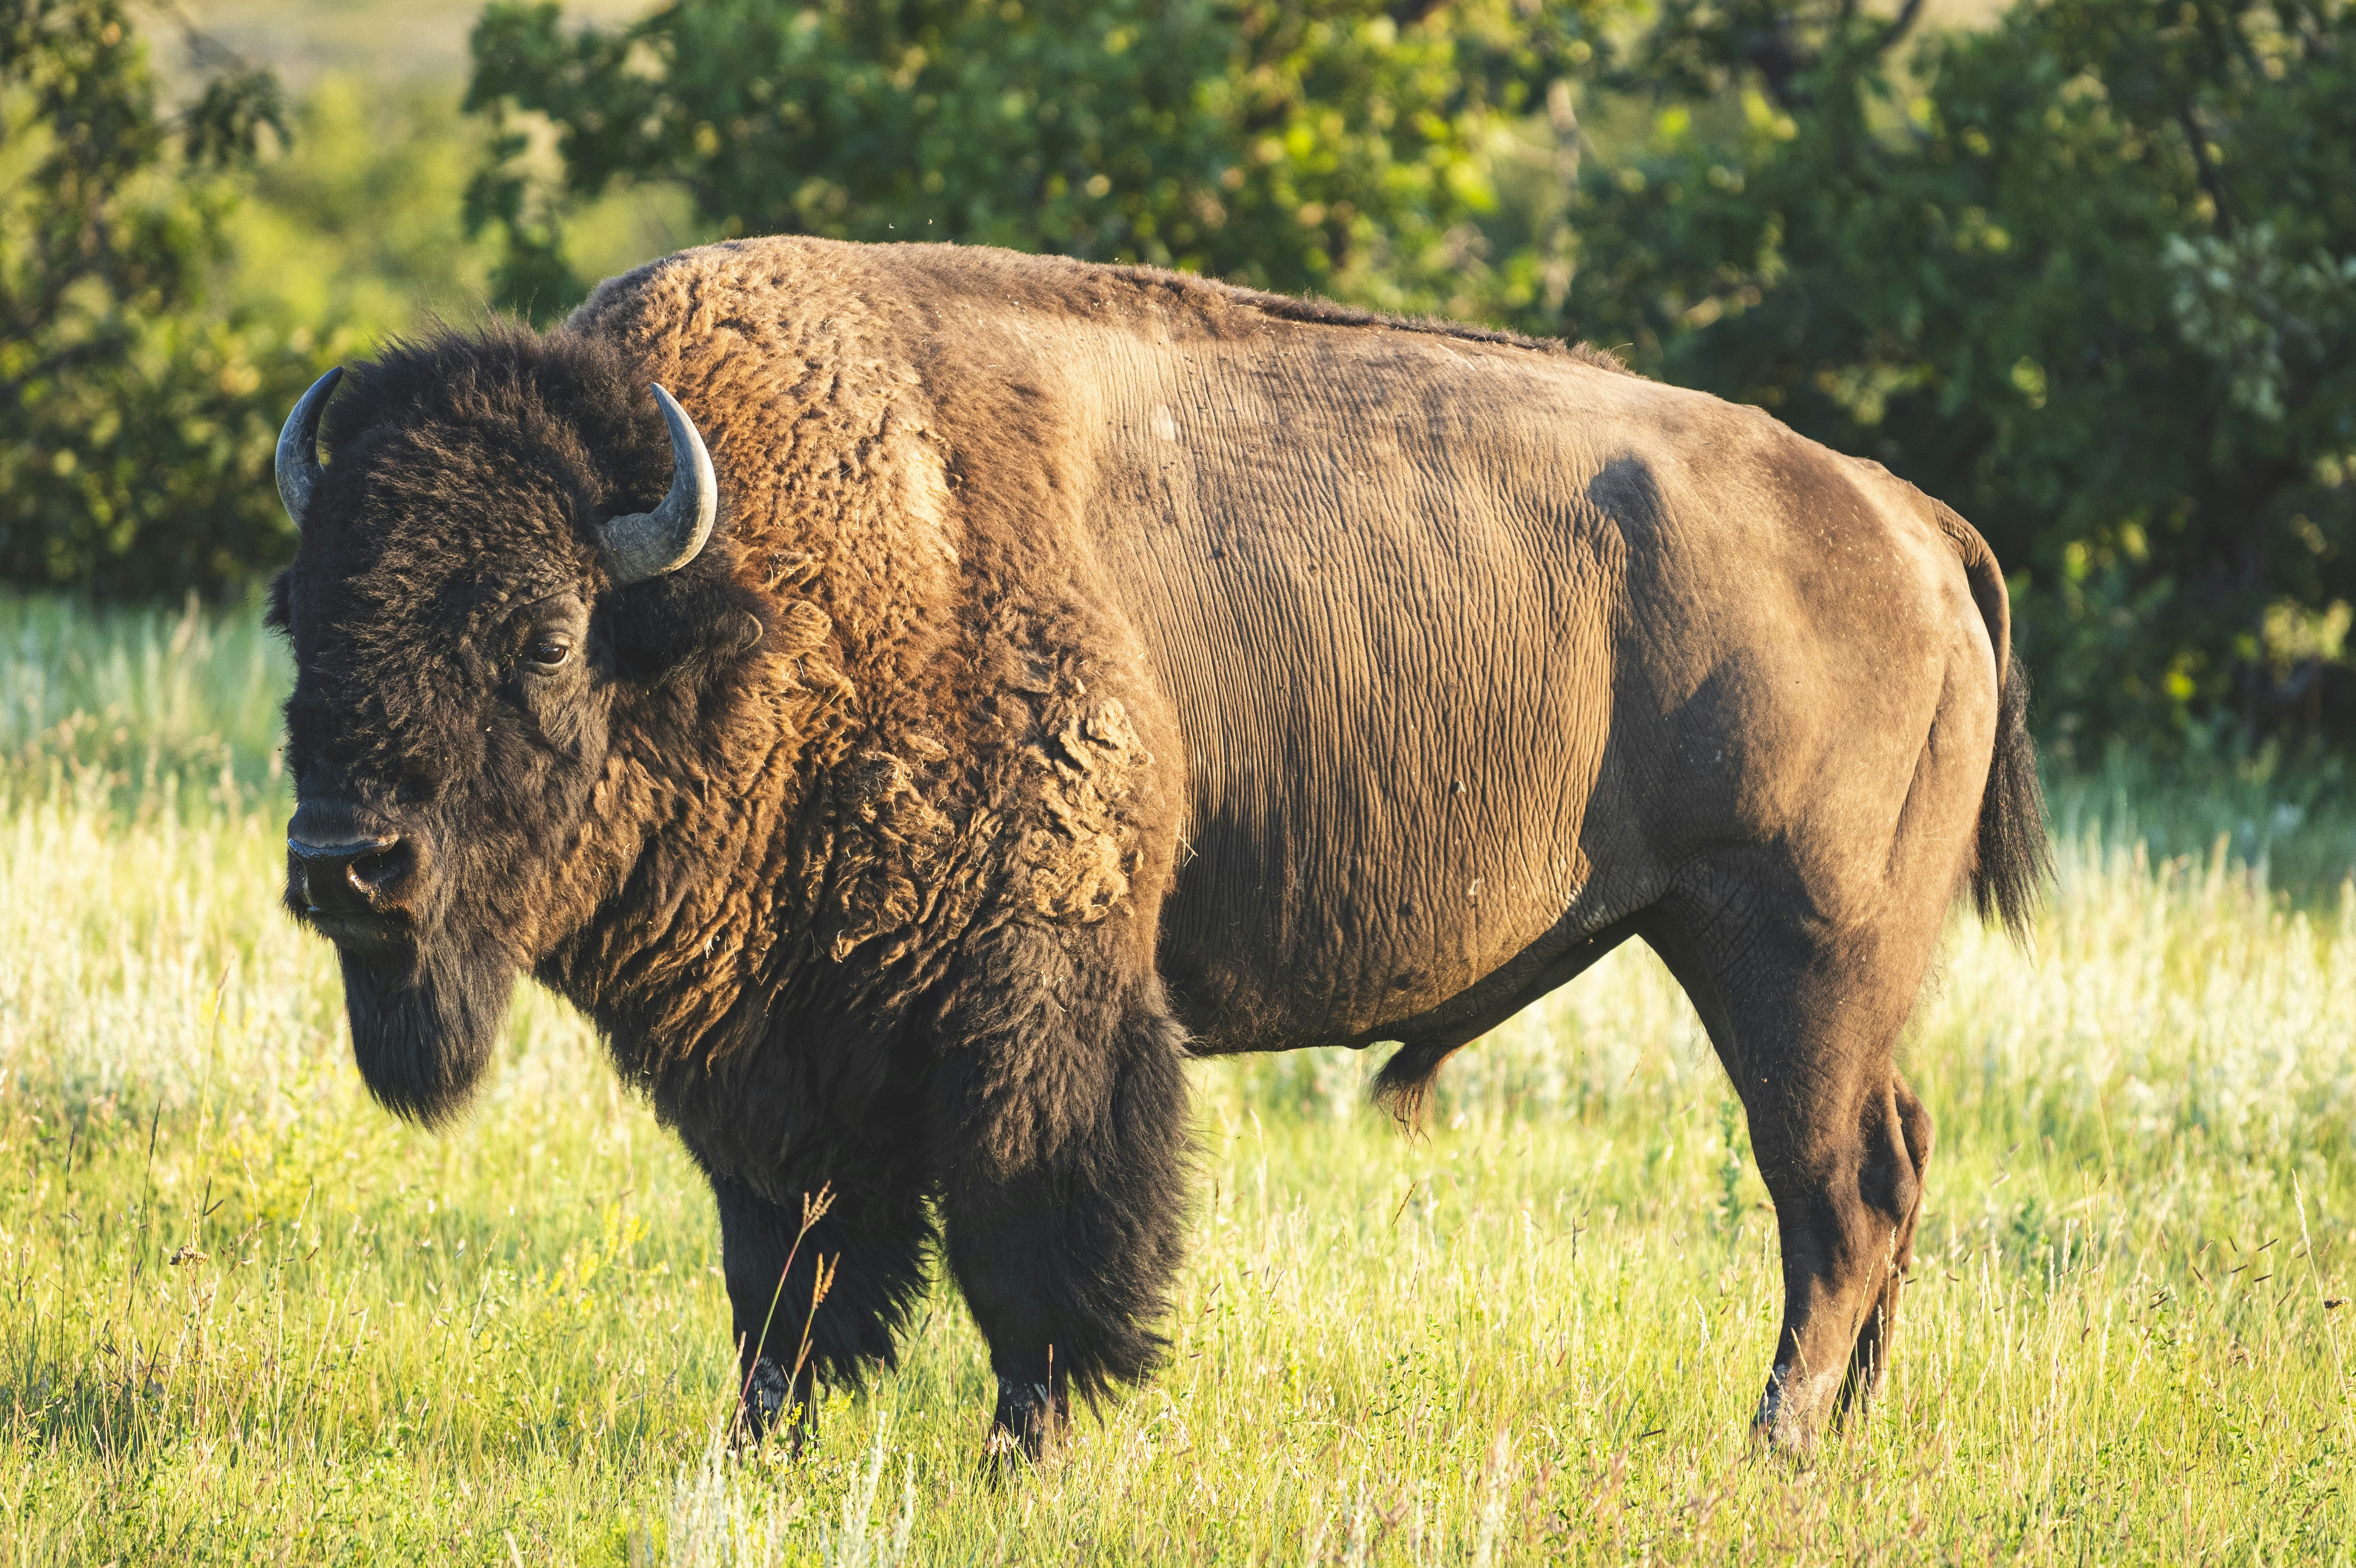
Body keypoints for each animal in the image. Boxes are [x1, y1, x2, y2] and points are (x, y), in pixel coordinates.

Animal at [268, 238, 2045, 1459]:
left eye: (539, 635)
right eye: (305, 618)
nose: (349, 862)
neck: (752, 588)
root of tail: (1907, 518)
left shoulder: (1027, 1000)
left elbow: (1028, 1225)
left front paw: (1024, 1447)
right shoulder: (778, 1048)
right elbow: (782, 1258)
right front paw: (758, 1444)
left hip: (1783, 953)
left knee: (1833, 1190)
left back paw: (1773, 1438)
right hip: (1816, 977)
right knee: (1891, 1163)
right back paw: (1845, 1428)